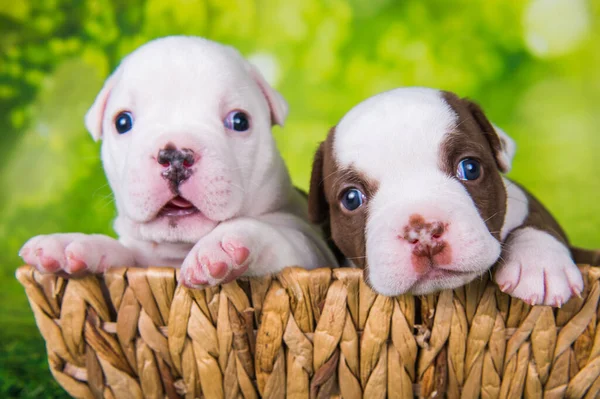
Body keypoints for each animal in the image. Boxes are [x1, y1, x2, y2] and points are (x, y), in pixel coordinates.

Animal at [19, 36, 338, 288]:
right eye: (122, 122)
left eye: (239, 121)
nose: (175, 157)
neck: (177, 250)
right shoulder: (139, 257)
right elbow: (121, 251)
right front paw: (73, 244)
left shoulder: (312, 246)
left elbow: (275, 233)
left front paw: (223, 244)